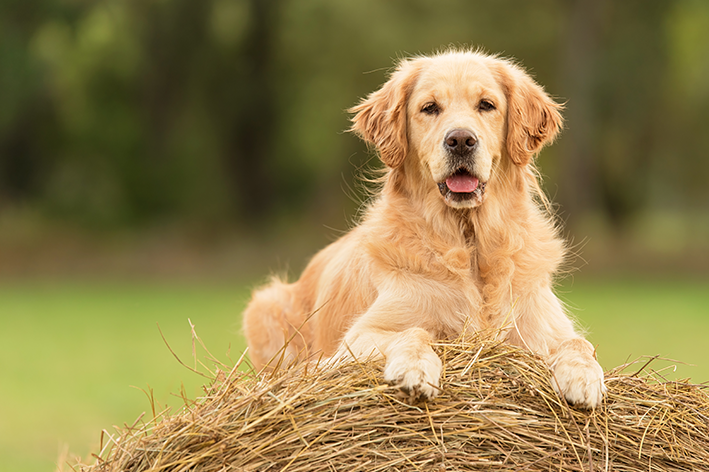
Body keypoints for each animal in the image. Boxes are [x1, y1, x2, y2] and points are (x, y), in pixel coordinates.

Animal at [242, 49, 604, 408]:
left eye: (486, 104)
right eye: (429, 108)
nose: (461, 140)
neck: (469, 243)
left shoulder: (543, 329)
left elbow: (579, 344)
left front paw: (584, 377)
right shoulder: (357, 338)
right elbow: (413, 332)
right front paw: (414, 368)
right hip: (266, 305)